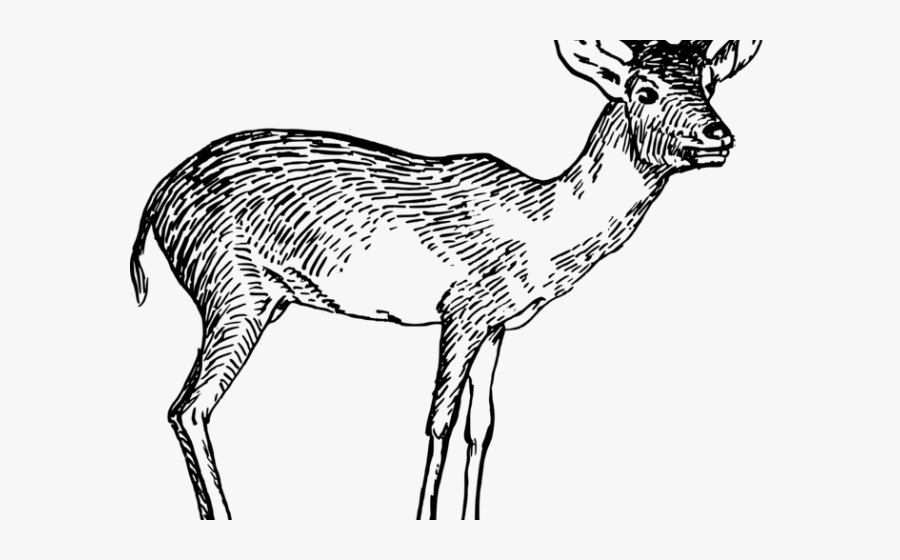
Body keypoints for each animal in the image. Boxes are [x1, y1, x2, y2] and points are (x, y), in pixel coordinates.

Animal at [130, 40, 762, 520]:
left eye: (709, 82)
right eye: (643, 89)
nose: (718, 136)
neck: (541, 228)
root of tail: (155, 200)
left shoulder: (499, 327)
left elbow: (480, 427)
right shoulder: (459, 313)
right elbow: (438, 423)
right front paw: (425, 519)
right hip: (234, 293)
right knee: (189, 407)